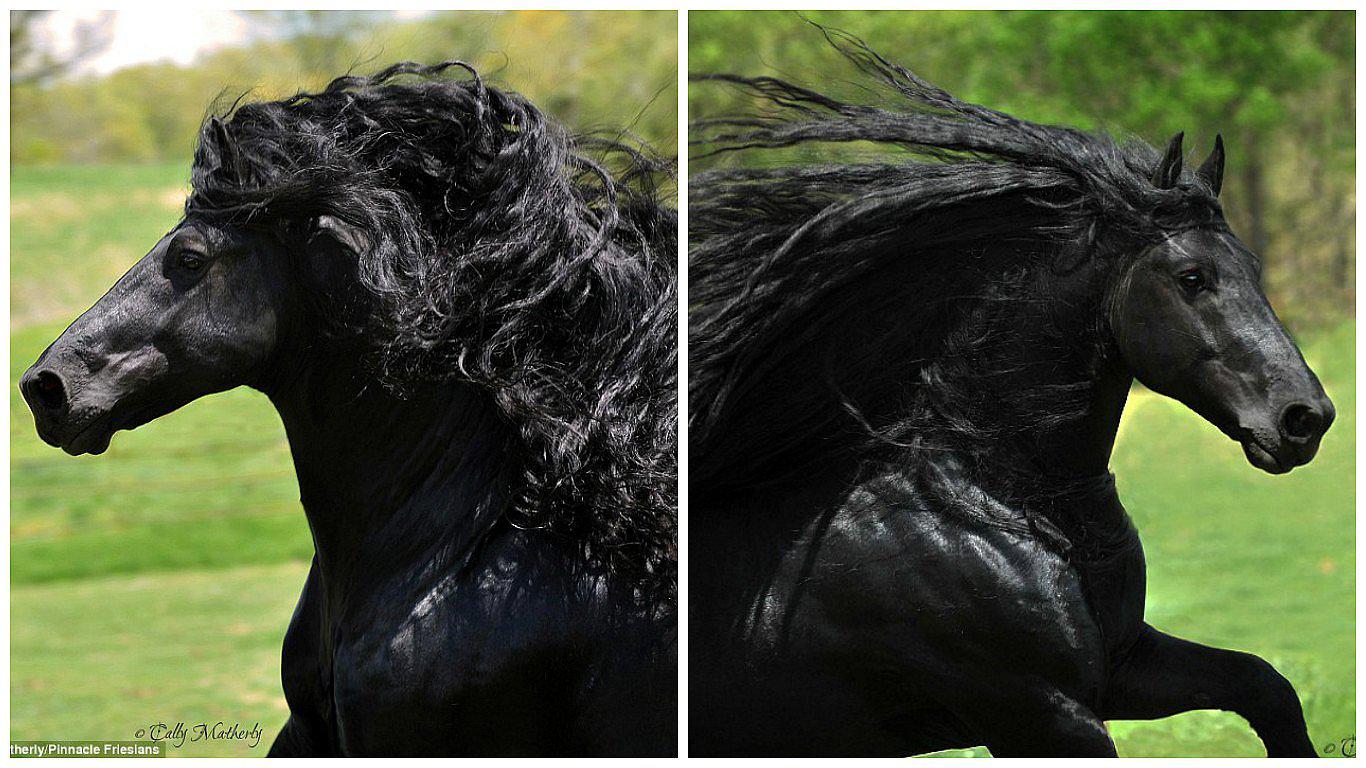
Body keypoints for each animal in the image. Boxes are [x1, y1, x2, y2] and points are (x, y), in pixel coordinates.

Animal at [688, 30, 1333, 757]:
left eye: (1252, 266)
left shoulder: (1123, 666)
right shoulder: (1035, 709)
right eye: (1192, 277)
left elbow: (1265, 686)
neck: (992, 500)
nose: (1306, 418)